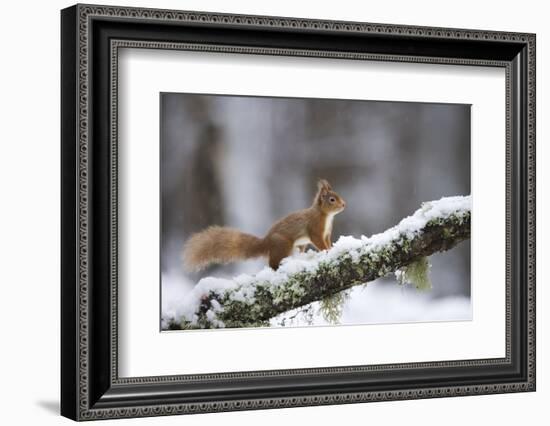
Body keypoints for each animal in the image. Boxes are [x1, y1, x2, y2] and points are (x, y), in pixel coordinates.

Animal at [184, 179, 350, 272]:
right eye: (332, 199)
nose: (344, 204)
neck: (325, 216)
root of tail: (267, 242)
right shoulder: (315, 229)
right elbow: (319, 242)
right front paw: (327, 251)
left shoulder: (326, 233)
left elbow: (328, 241)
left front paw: (332, 248)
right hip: (283, 245)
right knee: (273, 263)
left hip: (298, 246)